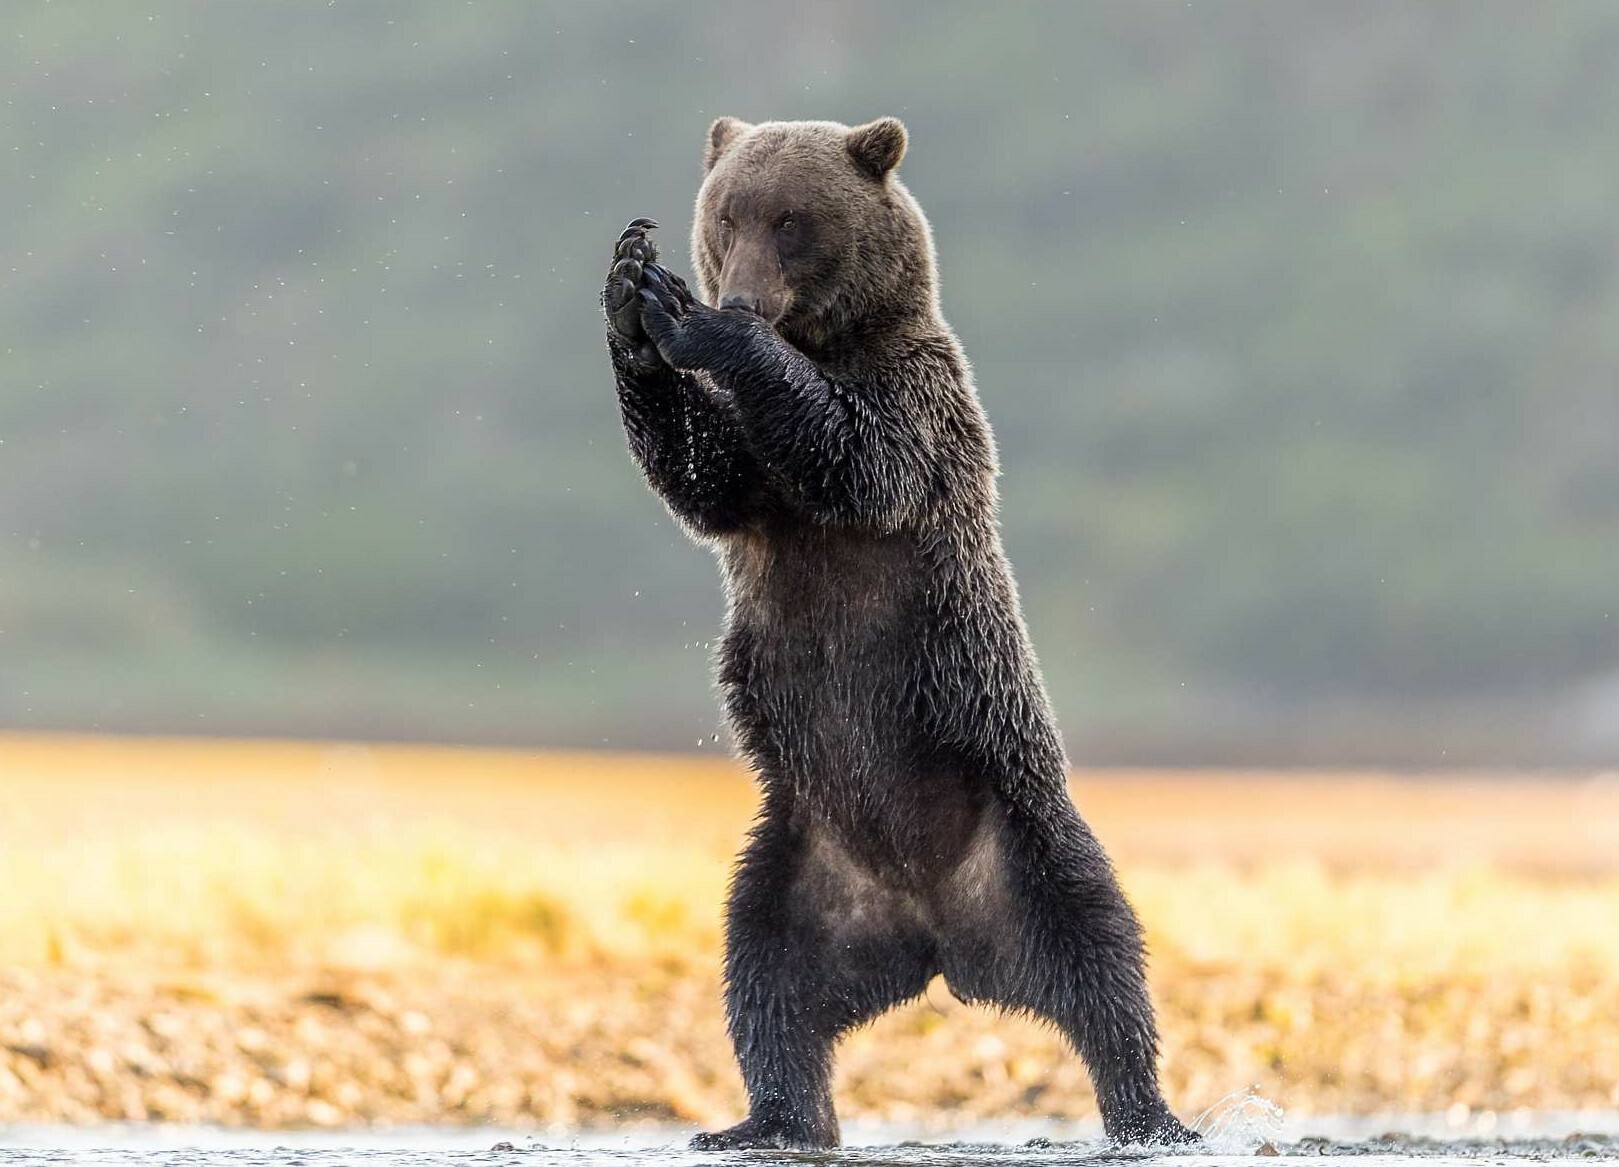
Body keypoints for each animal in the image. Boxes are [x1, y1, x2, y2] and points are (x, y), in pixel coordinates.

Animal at [602, 115, 1198, 1145]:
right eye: (727, 215)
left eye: (791, 220)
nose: (741, 293)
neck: (829, 339)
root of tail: (931, 930)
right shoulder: (757, 492)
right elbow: (702, 475)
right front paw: (629, 288)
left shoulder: (916, 401)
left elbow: (856, 458)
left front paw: (693, 321)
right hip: (799, 860)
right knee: (764, 977)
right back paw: (767, 1117)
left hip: (1018, 824)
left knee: (1100, 952)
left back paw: (1147, 1110)